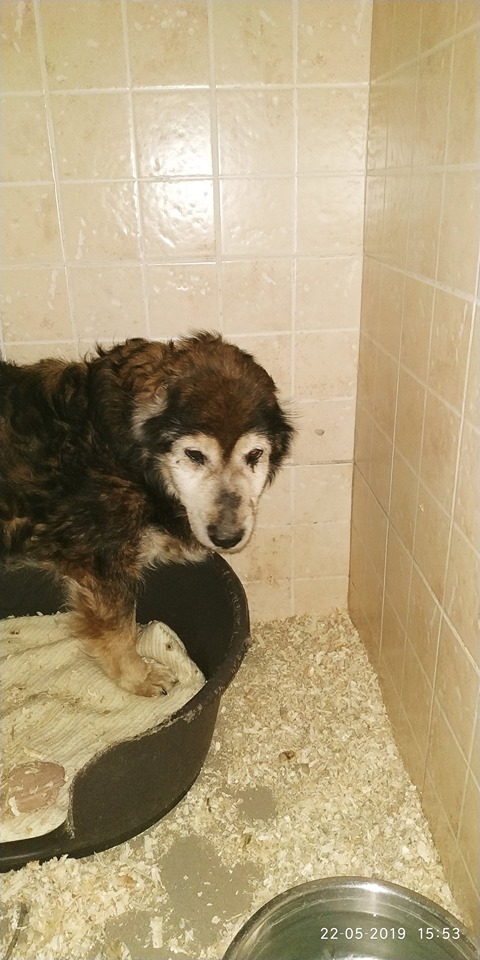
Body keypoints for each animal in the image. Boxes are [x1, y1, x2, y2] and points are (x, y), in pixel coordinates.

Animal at [0, 333, 293, 696]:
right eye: (194, 455)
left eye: (254, 455)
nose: (227, 538)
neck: (119, 449)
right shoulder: (103, 568)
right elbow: (120, 632)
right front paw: (137, 677)